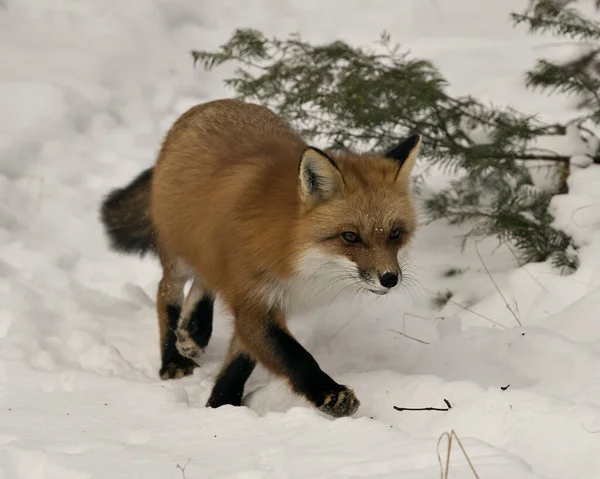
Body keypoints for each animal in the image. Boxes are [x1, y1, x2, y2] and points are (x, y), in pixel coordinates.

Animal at [101, 97, 422, 416]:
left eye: (395, 234)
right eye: (351, 236)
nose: (389, 279)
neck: (297, 250)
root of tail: (211, 104)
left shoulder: (265, 301)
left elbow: (240, 361)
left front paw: (222, 404)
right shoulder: (254, 299)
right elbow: (294, 357)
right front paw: (331, 394)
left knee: (204, 283)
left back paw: (194, 332)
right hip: (178, 256)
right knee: (167, 293)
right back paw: (172, 359)